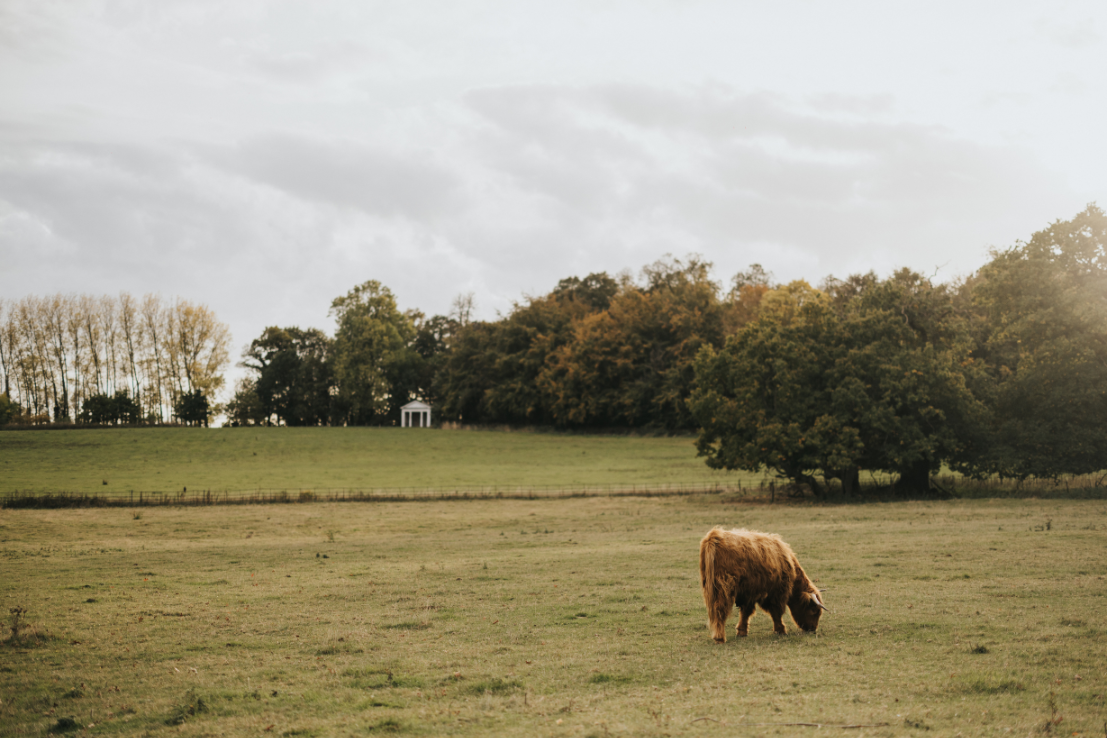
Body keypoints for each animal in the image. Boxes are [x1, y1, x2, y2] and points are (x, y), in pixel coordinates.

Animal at [699, 527, 827, 642]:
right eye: (814, 610)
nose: (812, 629)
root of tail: (715, 536)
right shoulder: (777, 593)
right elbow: (776, 612)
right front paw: (781, 631)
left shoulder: (748, 593)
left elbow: (745, 613)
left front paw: (741, 632)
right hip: (724, 587)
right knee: (720, 609)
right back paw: (719, 638)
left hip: (710, 587)